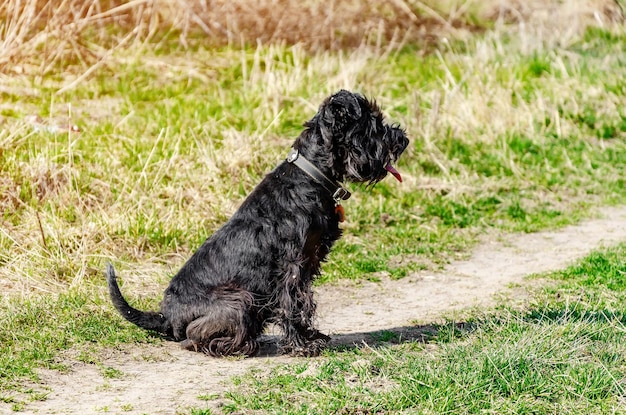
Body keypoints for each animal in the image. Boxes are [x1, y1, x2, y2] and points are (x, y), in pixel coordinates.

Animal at [107, 91, 408, 358]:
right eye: (374, 124)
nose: (402, 139)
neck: (311, 175)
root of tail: (165, 316)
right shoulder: (292, 266)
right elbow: (293, 303)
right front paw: (302, 346)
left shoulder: (308, 263)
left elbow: (303, 302)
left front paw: (310, 337)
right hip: (240, 300)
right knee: (193, 337)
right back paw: (237, 346)